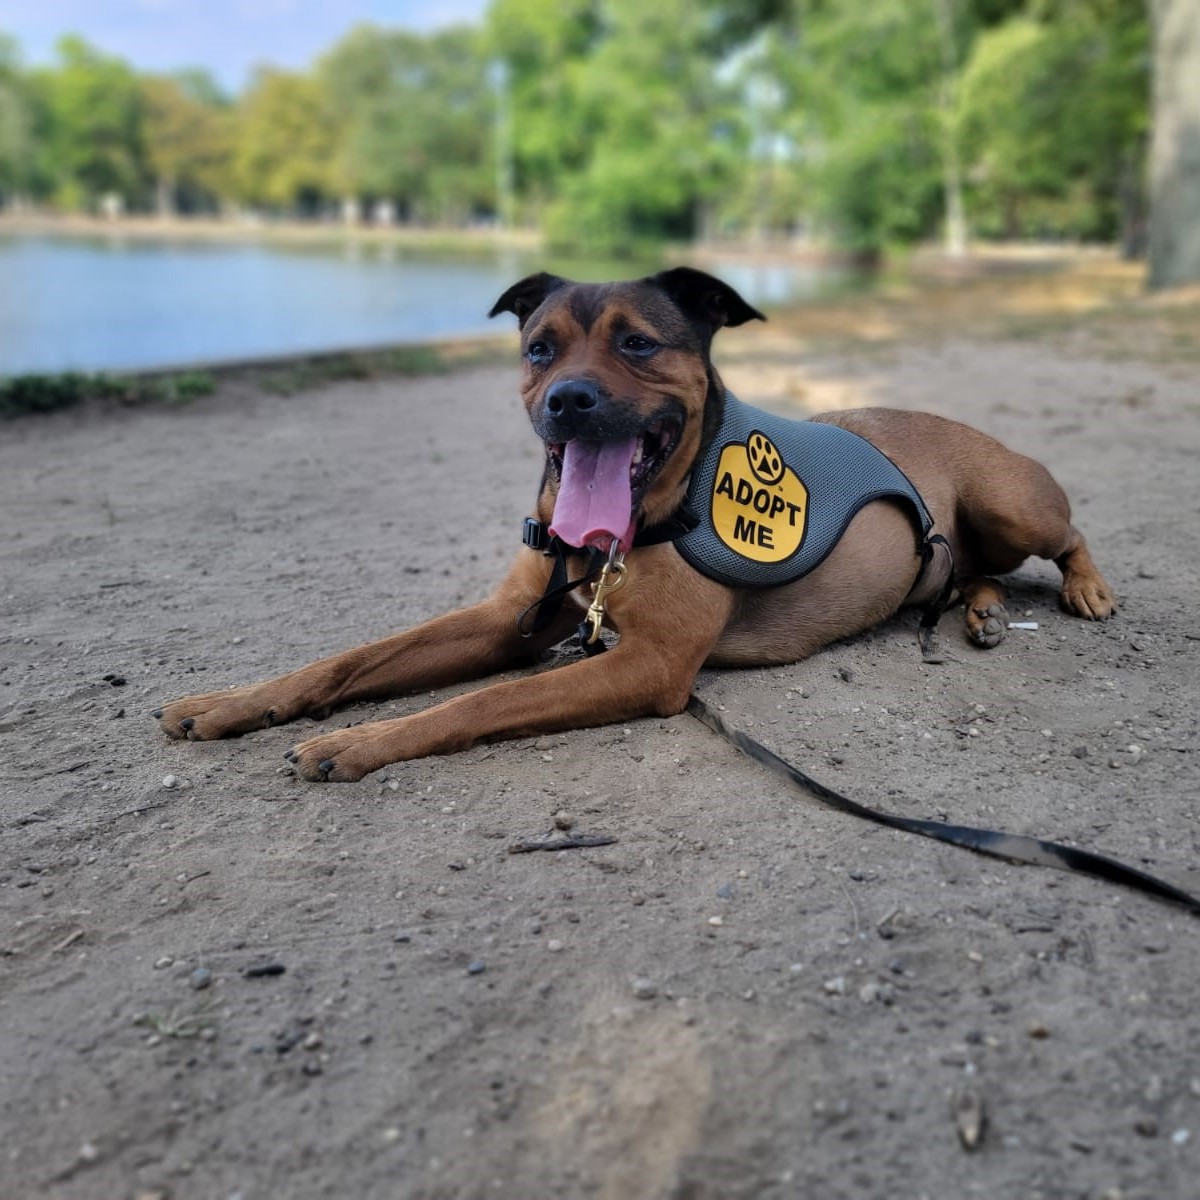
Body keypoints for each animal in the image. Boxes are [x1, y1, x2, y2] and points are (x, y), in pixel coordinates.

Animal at [157, 267, 1113, 782]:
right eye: (539, 348)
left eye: (638, 344)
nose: (568, 400)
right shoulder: (508, 620)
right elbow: (348, 660)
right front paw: (230, 703)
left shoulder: (646, 664)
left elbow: (480, 701)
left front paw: (361, 741)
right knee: (972, 570)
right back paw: (982, 611)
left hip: (1011, 503)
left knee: (1064, 538)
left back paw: (1088, 589)